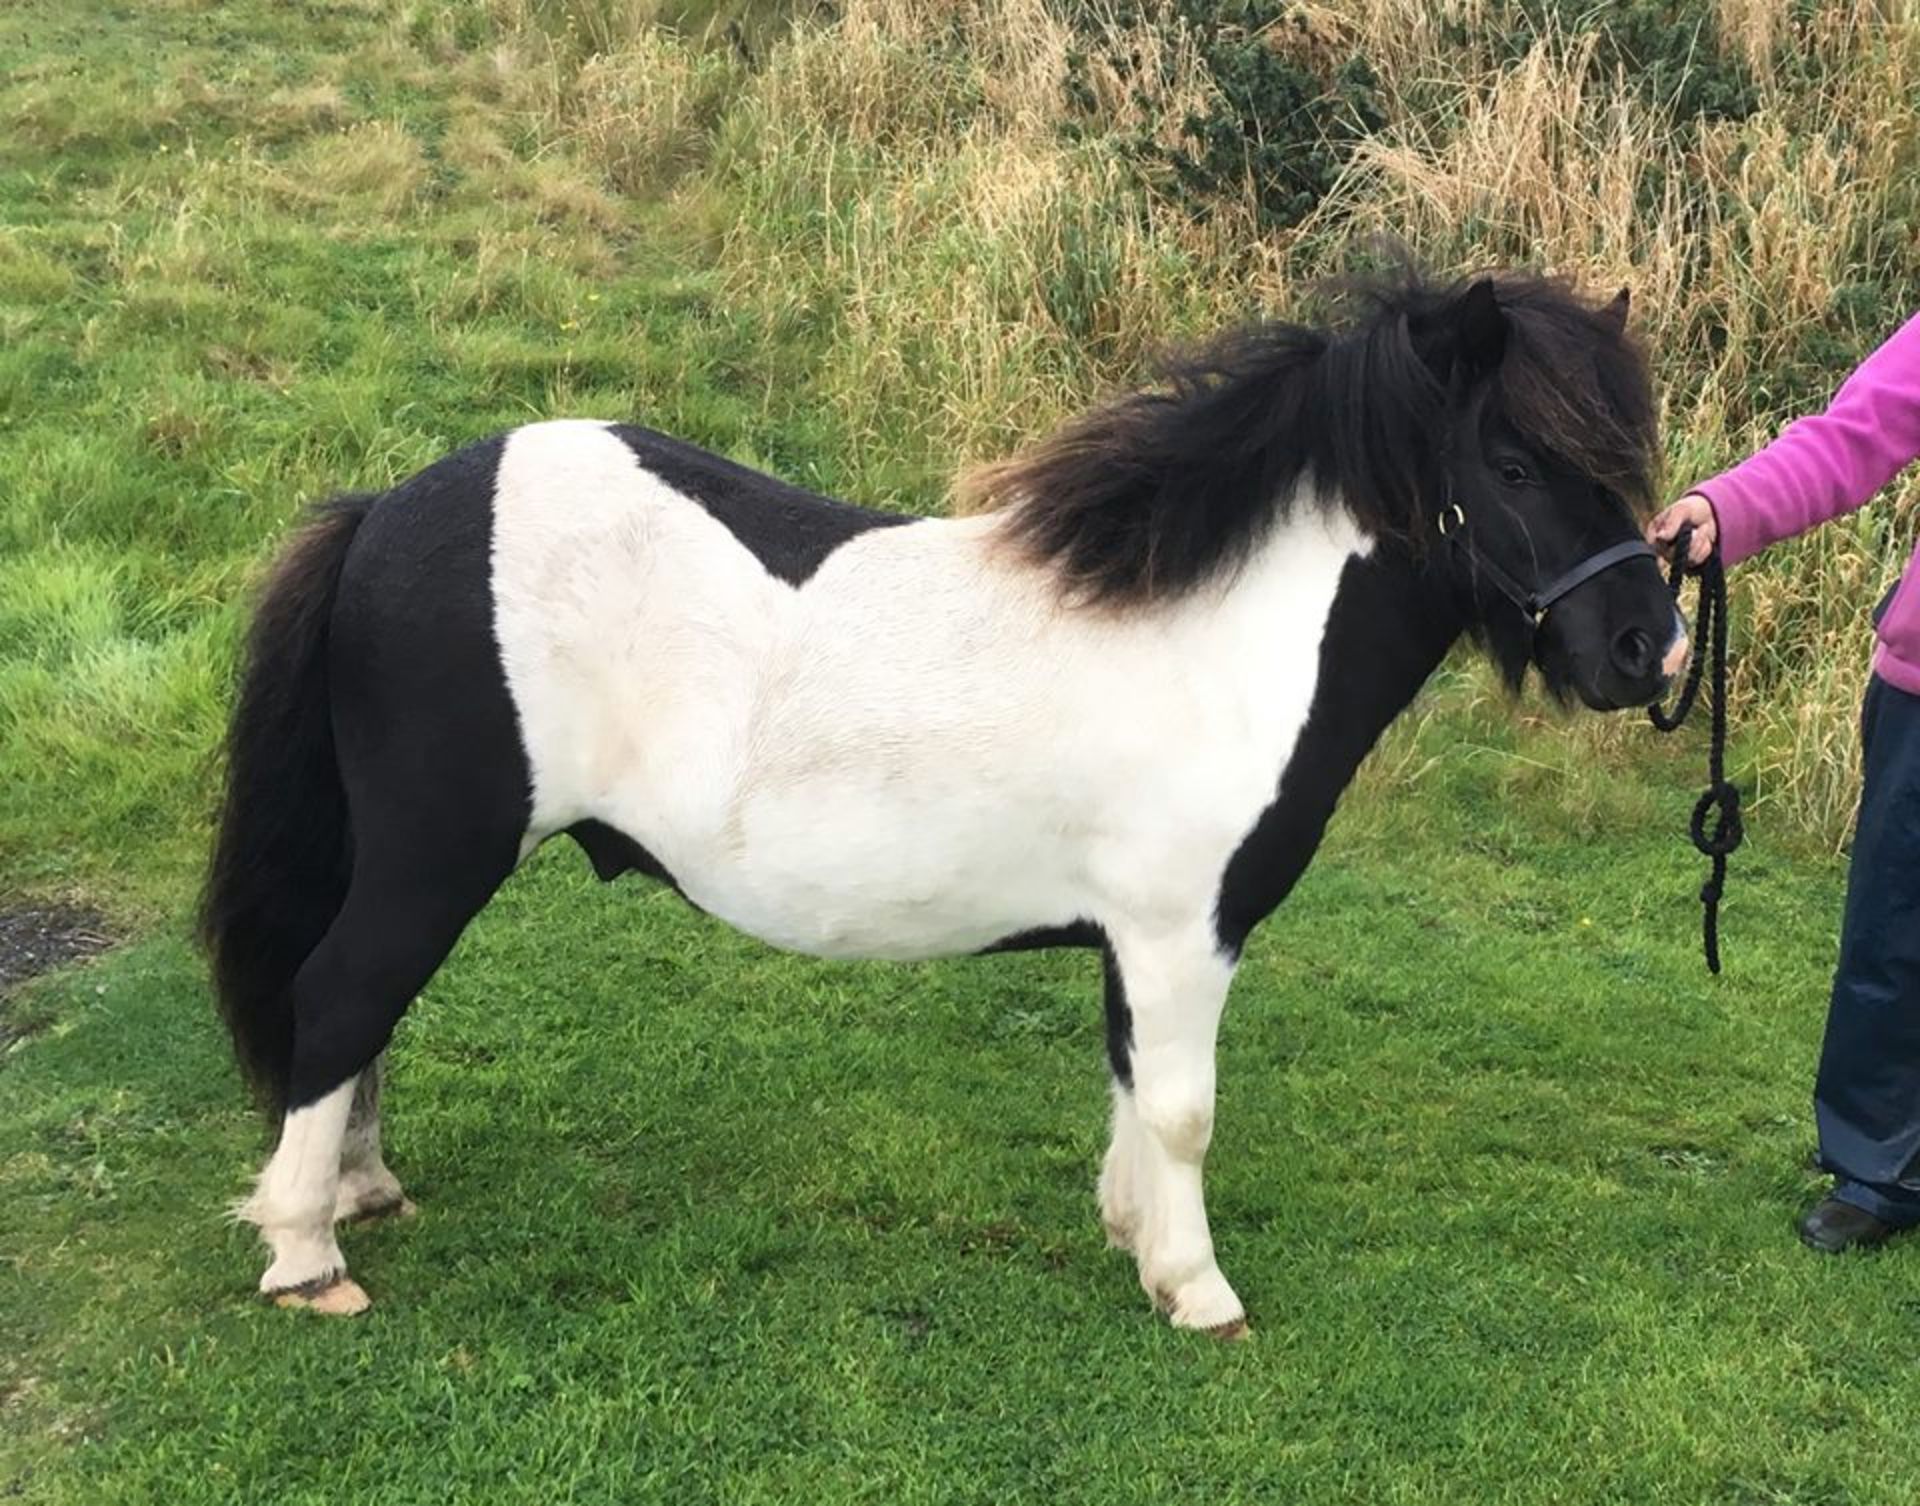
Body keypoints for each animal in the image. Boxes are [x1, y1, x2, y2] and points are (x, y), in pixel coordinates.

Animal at [202, 267, 1689, 1329]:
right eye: (1512, 466)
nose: (1649, 648)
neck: (1223, 637)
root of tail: (389, 510)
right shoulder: (1182, 934)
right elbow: (1182, 1107)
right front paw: (1199, 1290)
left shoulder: (1132, 941)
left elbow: (1130, 1087)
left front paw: (1136, 1242)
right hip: (433, 854)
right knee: (343, 995)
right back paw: (306, 1254)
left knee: (364, 1010)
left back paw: (361, 1190)